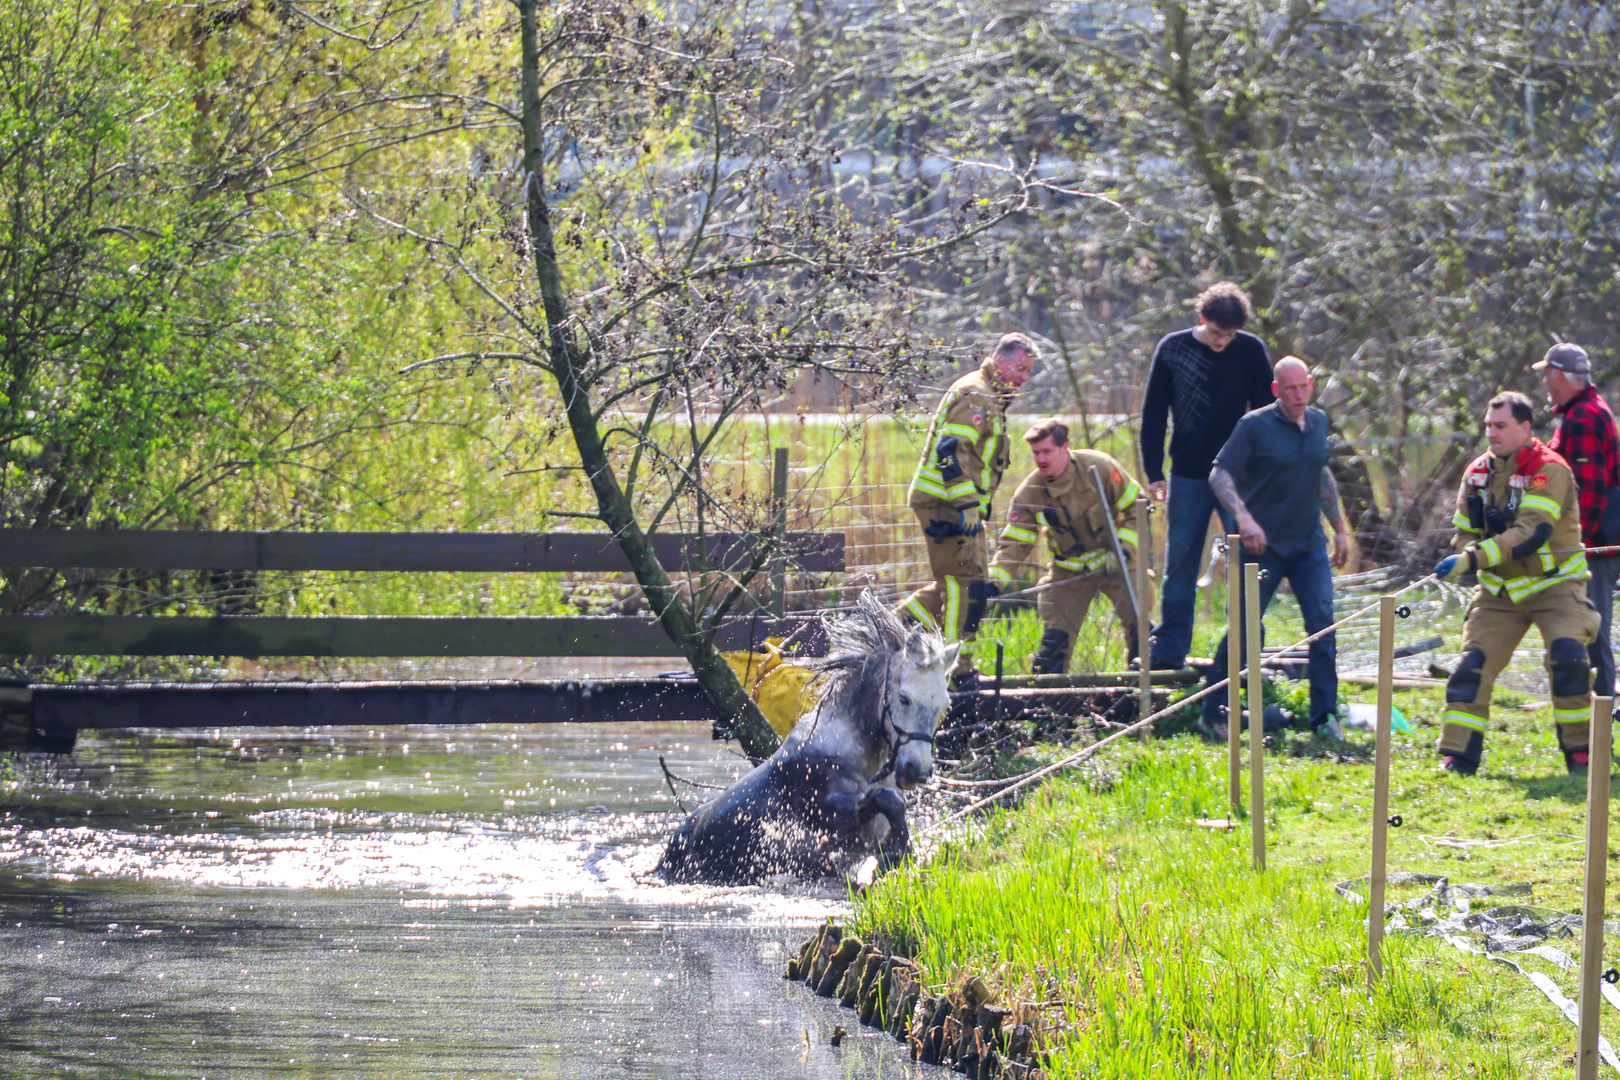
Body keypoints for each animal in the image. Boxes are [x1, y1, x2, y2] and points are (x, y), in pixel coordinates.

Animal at [655, 591, 959, 885]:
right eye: (904, 698)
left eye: (944, 706)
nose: (916, 770)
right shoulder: (831, 815)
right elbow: (887, 801)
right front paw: (896, 852)